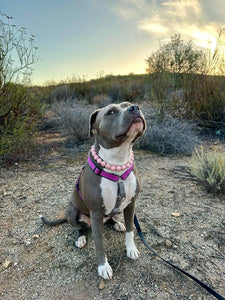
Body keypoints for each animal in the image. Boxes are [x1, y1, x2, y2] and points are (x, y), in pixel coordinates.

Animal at [40, 102, 146, 280]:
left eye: (127, 105)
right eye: (111, 112)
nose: (134, 107)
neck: (118, 162)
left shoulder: (131, 204)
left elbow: (131, 229)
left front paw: (131, 248)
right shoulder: (96, 213)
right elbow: (99, 244)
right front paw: (103, 267)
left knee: (111, 219)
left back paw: (117, 224)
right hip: (71, 211)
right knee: (80, 228)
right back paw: (81, 239)